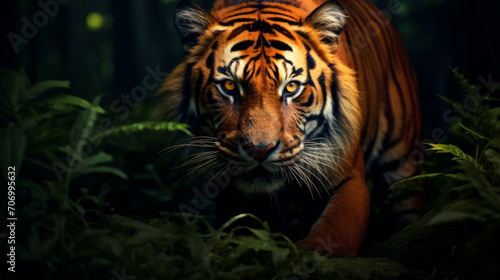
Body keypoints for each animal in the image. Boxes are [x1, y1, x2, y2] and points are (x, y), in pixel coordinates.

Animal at [160, 0, 418, 258]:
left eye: (291, 87)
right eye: (230, 86)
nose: (259, 150)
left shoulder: (349, 176)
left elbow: (335, 230)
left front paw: (310, 254)